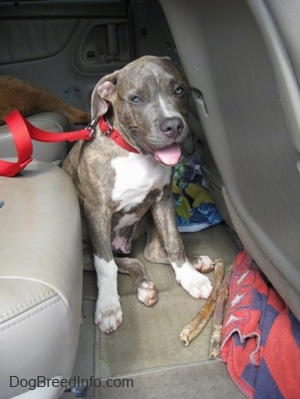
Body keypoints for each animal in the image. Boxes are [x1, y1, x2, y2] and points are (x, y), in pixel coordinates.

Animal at [63, 56, 213, 334]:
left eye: (179, 90)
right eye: (135, 98)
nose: (173, 125)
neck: (134, 153)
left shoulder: (163, 199)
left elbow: (174, 243)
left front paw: (190, 278)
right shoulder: (97, 212)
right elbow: (106, 265)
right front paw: (108, 307)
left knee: (153, 251)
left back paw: (195, 262)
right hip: (85, 249)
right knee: (123, 261)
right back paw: (143, 286)